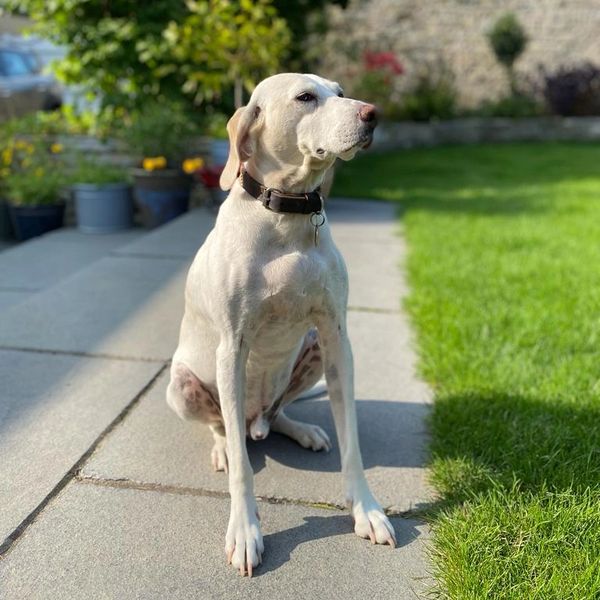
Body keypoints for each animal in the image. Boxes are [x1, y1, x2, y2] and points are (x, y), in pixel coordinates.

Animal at [166, 72, 396, 576]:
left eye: (341, 91)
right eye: (305, 97)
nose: (372, 113)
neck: (287, 214)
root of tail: (256, 423)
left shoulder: (335, 337)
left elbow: (353, 443)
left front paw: (366, 510)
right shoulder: (232, 347)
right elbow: (242, 472)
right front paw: (244, 531)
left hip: (311, 352)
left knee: (276, 413)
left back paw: (299, 429)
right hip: (182, 385)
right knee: (225, 426)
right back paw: (225, 445)